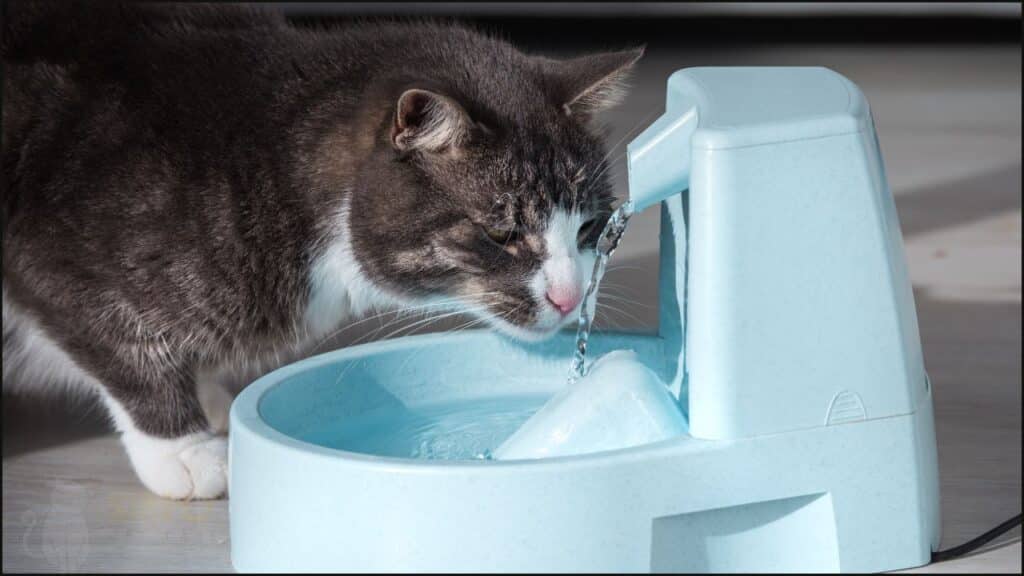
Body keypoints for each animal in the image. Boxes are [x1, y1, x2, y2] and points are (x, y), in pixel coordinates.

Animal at [0, 2, 638, 498]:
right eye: (502, 234)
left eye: (589, 227)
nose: (569, 297)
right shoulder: (58, 252)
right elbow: (121, 343)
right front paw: (185, 451)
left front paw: (206, 396)